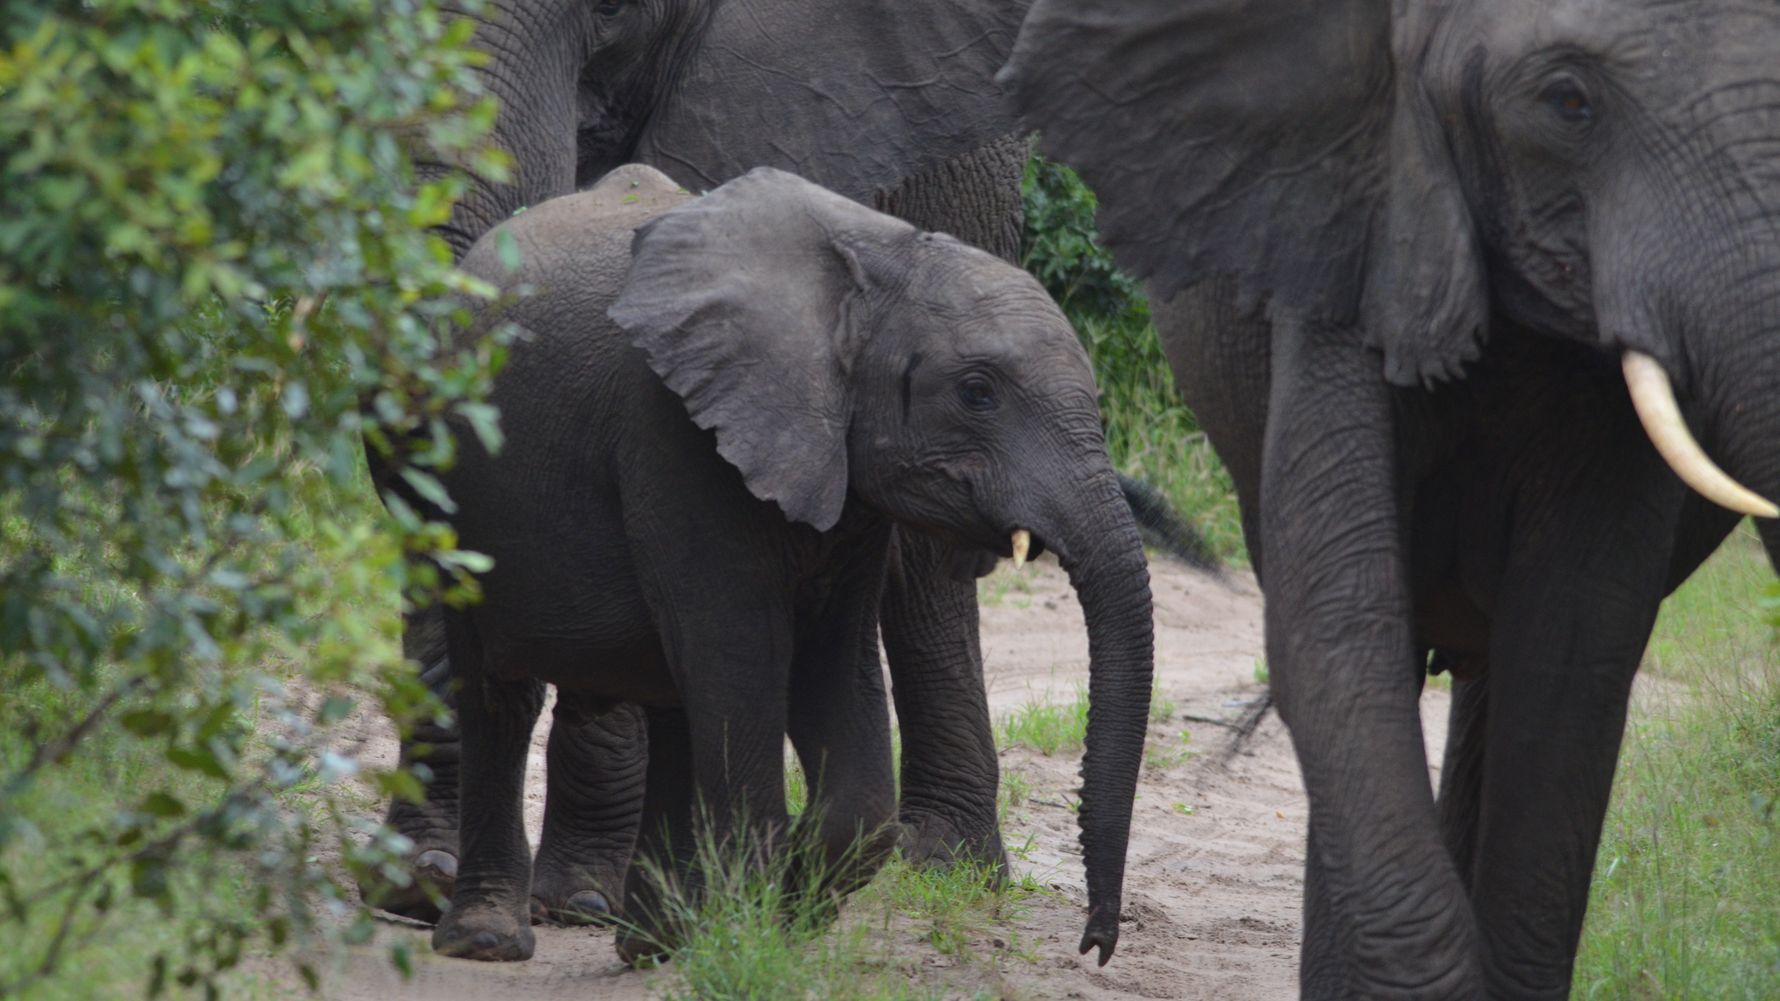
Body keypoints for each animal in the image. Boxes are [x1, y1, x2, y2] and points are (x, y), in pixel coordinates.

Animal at [427, 164, 1152, 965]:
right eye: (977, 393)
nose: (1095, 944)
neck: (880, 262)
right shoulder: (676, 434)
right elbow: (741, 652)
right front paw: (754, 924)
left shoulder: (845, 478)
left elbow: (832, 660)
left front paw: (787, 905)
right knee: (499, 691)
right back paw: (491, 940)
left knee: (669, 692)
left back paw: (653, 942)